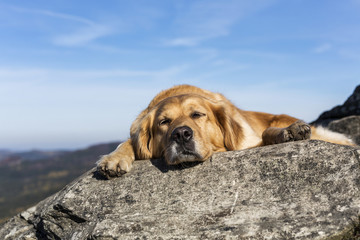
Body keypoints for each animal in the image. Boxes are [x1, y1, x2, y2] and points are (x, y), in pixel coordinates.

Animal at [96, 85, 354, 178]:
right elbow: (128, 142)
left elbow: (265, 134)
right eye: (164, 122)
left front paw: (286, 133)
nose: (181, 134)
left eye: (198, 115)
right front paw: (113, 159)